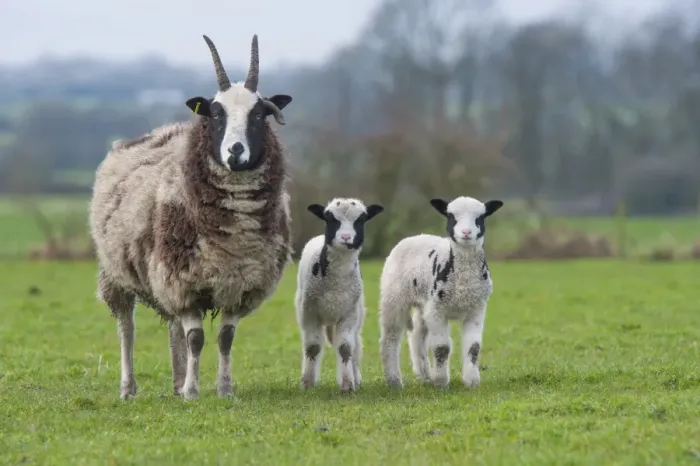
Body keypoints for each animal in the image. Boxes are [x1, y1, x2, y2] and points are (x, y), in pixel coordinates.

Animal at [88, 34, 294, 401]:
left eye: (259, 115)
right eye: (215, 114)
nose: (236, 152)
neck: (234, 236)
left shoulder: (236, 283)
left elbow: (225, 338)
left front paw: (222, 389)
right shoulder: (183, 283)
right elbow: (196, 339)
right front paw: (193, 392)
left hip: (163, 272)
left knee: (173, 328)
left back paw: (176, 382)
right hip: (117, 272)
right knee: (127, 327)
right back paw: (129, 388)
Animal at [295, 198, 384, 392]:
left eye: (361, 219)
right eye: (329, 218)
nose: (345, 237)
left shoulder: (349, 314)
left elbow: (345, 349)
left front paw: (348, 385)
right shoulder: (309, 312)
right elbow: (312, 347)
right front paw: (307, 383)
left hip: (358, 316)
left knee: (356, 349)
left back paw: (356, 378)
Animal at [378, 196, 503, 389]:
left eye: (480, 217)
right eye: (451, 216)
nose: (466, 233)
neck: (463, 282)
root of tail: (415, 236)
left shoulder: (476, 309)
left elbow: (473, 347)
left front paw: (472, 382)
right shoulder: (437, 310)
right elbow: (442, 348)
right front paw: (441, 382)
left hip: (424, 304)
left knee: (416, 335)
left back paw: (424, 374)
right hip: (393, 296)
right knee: (390, 338)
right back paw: (394, 381)